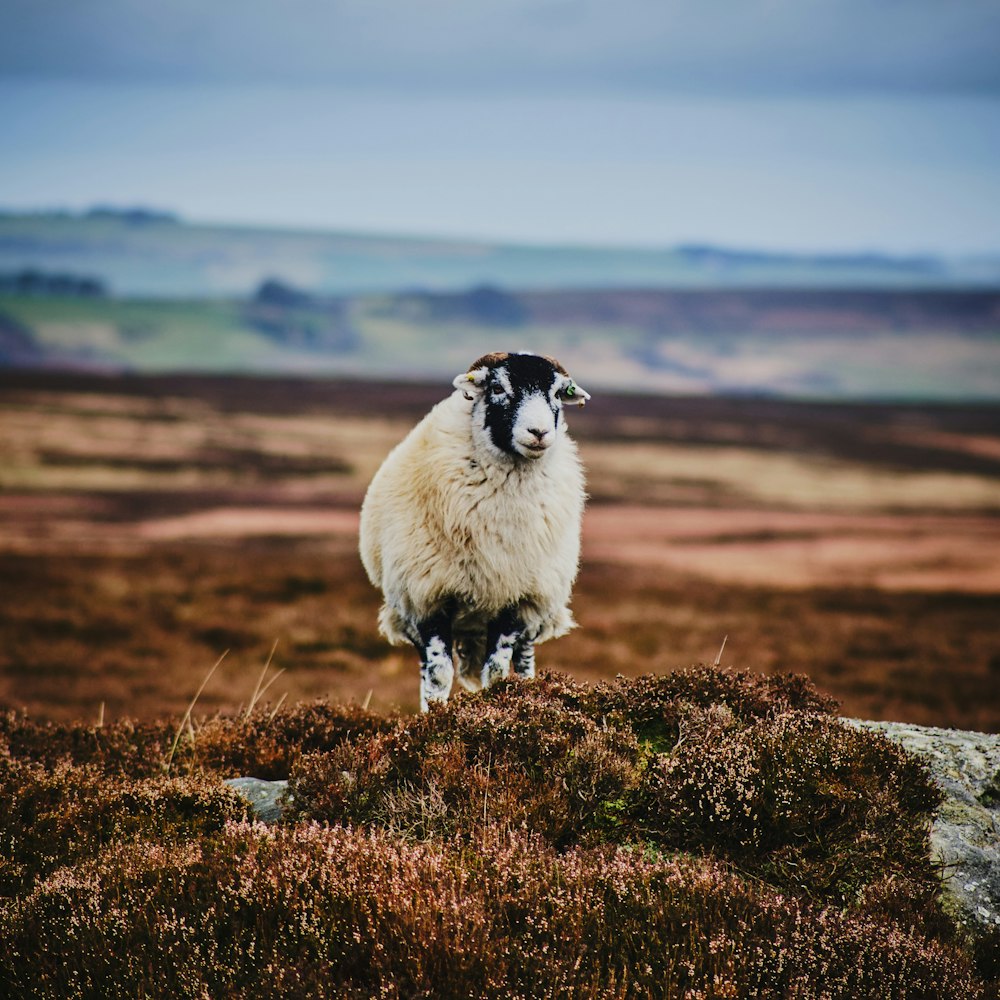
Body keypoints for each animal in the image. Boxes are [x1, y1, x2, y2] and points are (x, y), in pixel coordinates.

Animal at [360, 352, 588, 712]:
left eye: (556, 393)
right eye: (497, 388)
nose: (539, 432)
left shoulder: (515, 599)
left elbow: (497, 671)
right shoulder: (429, 599)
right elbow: (438, 673)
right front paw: (434, 717)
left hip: (537, 607)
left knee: (524, 661)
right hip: (409, 611)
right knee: (426, 667)